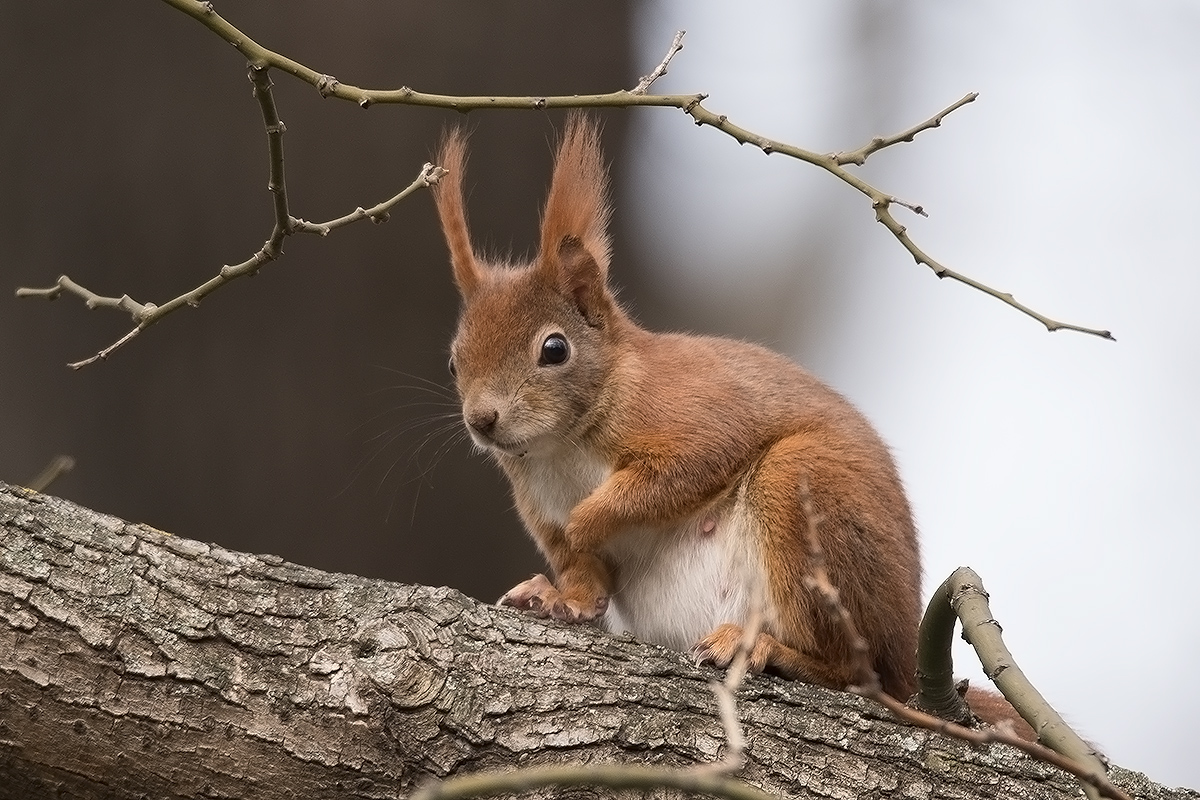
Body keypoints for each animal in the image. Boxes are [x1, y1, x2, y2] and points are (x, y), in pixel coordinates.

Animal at [432, 117, 916, 700]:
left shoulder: (691, 413)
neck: (561, 448)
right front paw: (557, 597)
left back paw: (762, 647)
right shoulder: (539, 505)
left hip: (801, 488)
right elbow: (581, 573)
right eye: (453, 362)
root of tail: (910, 663)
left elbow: (680, 472)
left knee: (853, 670)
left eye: (554, 349)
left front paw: (587, 520)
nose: (482, 421)